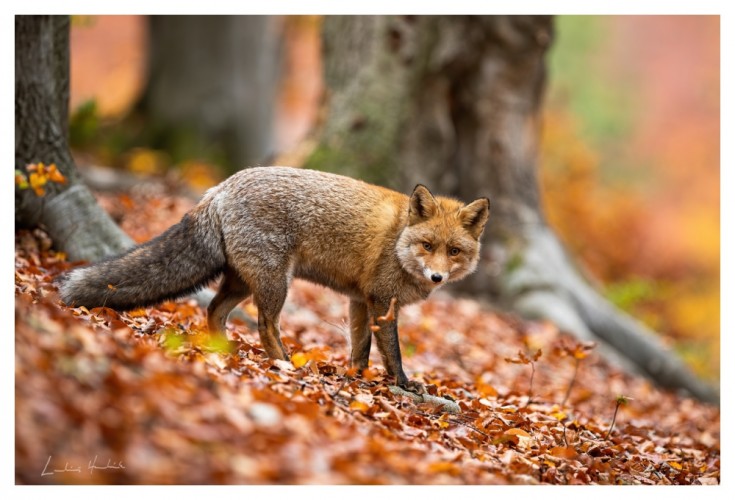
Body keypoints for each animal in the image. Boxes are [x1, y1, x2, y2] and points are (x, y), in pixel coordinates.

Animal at [59, 166, 488, 388]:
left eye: (453, 251)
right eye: (427, 245)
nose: (437, 277)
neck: (399, 240)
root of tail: (219, 188)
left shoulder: (358, 299)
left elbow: (360, 346)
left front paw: (358, 377)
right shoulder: (382, 300)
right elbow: (393, 351)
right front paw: (402, 384)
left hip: (242, 282)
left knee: (213, 310)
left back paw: (224, 351)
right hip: (276, 283)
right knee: (266, 324)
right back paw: (283, 364)